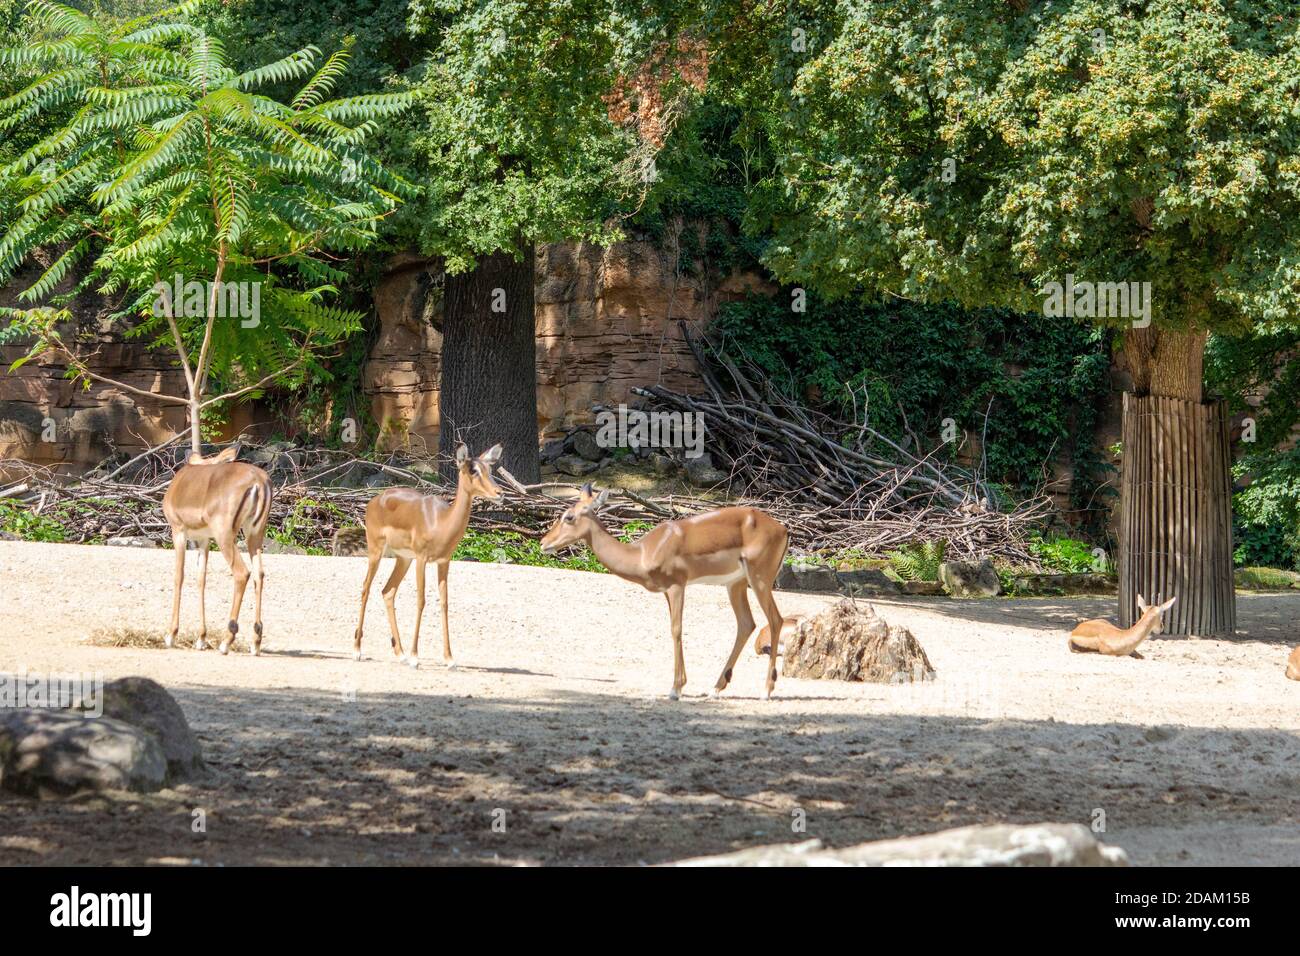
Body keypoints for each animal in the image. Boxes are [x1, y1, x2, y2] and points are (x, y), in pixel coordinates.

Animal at [162, 444, 274, 655]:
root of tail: (258, 481)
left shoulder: (178, 531)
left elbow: (179, 577)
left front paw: (171, 635)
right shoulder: (204, 540)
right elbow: (201, 580)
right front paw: (201, 639)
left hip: (225, 537)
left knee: (242, 573)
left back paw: (226, 641)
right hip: (254, 534)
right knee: (259, 574)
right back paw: (255, 642)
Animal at [353, 444, 504, 671]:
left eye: (489, 469)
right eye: (472, 470)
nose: (499, 493)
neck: (440, 522)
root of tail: (374, 501)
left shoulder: (443, 562)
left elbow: (444, 603)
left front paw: (449, 659)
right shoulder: (422, 559)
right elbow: (421, 600)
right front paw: (416, 658)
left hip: (403, 559)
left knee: (387, 591)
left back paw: (400, 654)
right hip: (376, 551)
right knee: (365, 588)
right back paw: (358, 651)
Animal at [540, 489, 785, 697]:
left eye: (569, 517)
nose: (543, 543)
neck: (641, 552)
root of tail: (782, 529)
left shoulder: (677, 586)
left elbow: (676, 629)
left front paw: (675, 689)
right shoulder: (667, 591)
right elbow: (673, 628)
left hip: (760, 580)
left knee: (775, 620)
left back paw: (766, 690)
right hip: (735, 584)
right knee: (746, 624)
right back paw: (716, 688)